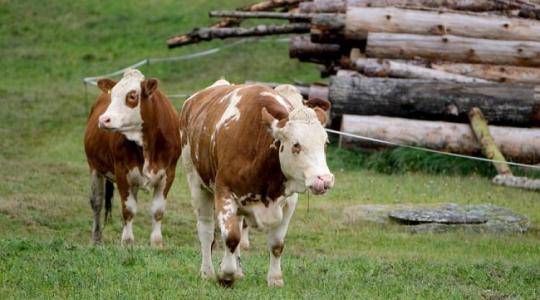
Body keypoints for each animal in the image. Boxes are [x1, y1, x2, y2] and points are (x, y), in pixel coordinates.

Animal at [83, 69, 181, 246]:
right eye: (113, 94)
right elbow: (128, 209)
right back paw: (96, 238)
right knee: (97, 202)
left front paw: (157, 243)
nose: (104, 119)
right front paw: (127, 241)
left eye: (132, 96)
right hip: (94, 167)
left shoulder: (168, 173)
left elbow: (158, 210)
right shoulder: (122, 172)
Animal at [180, 79, 334, 286]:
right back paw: (207, 272)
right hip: (197, 183)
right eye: (296, 144)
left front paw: (275, 279)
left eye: (325, 143)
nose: (324, 179)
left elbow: (277, 244)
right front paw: (226, 274)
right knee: (206, 230)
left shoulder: (288, 203)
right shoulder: (224, 192)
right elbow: (231, 237)